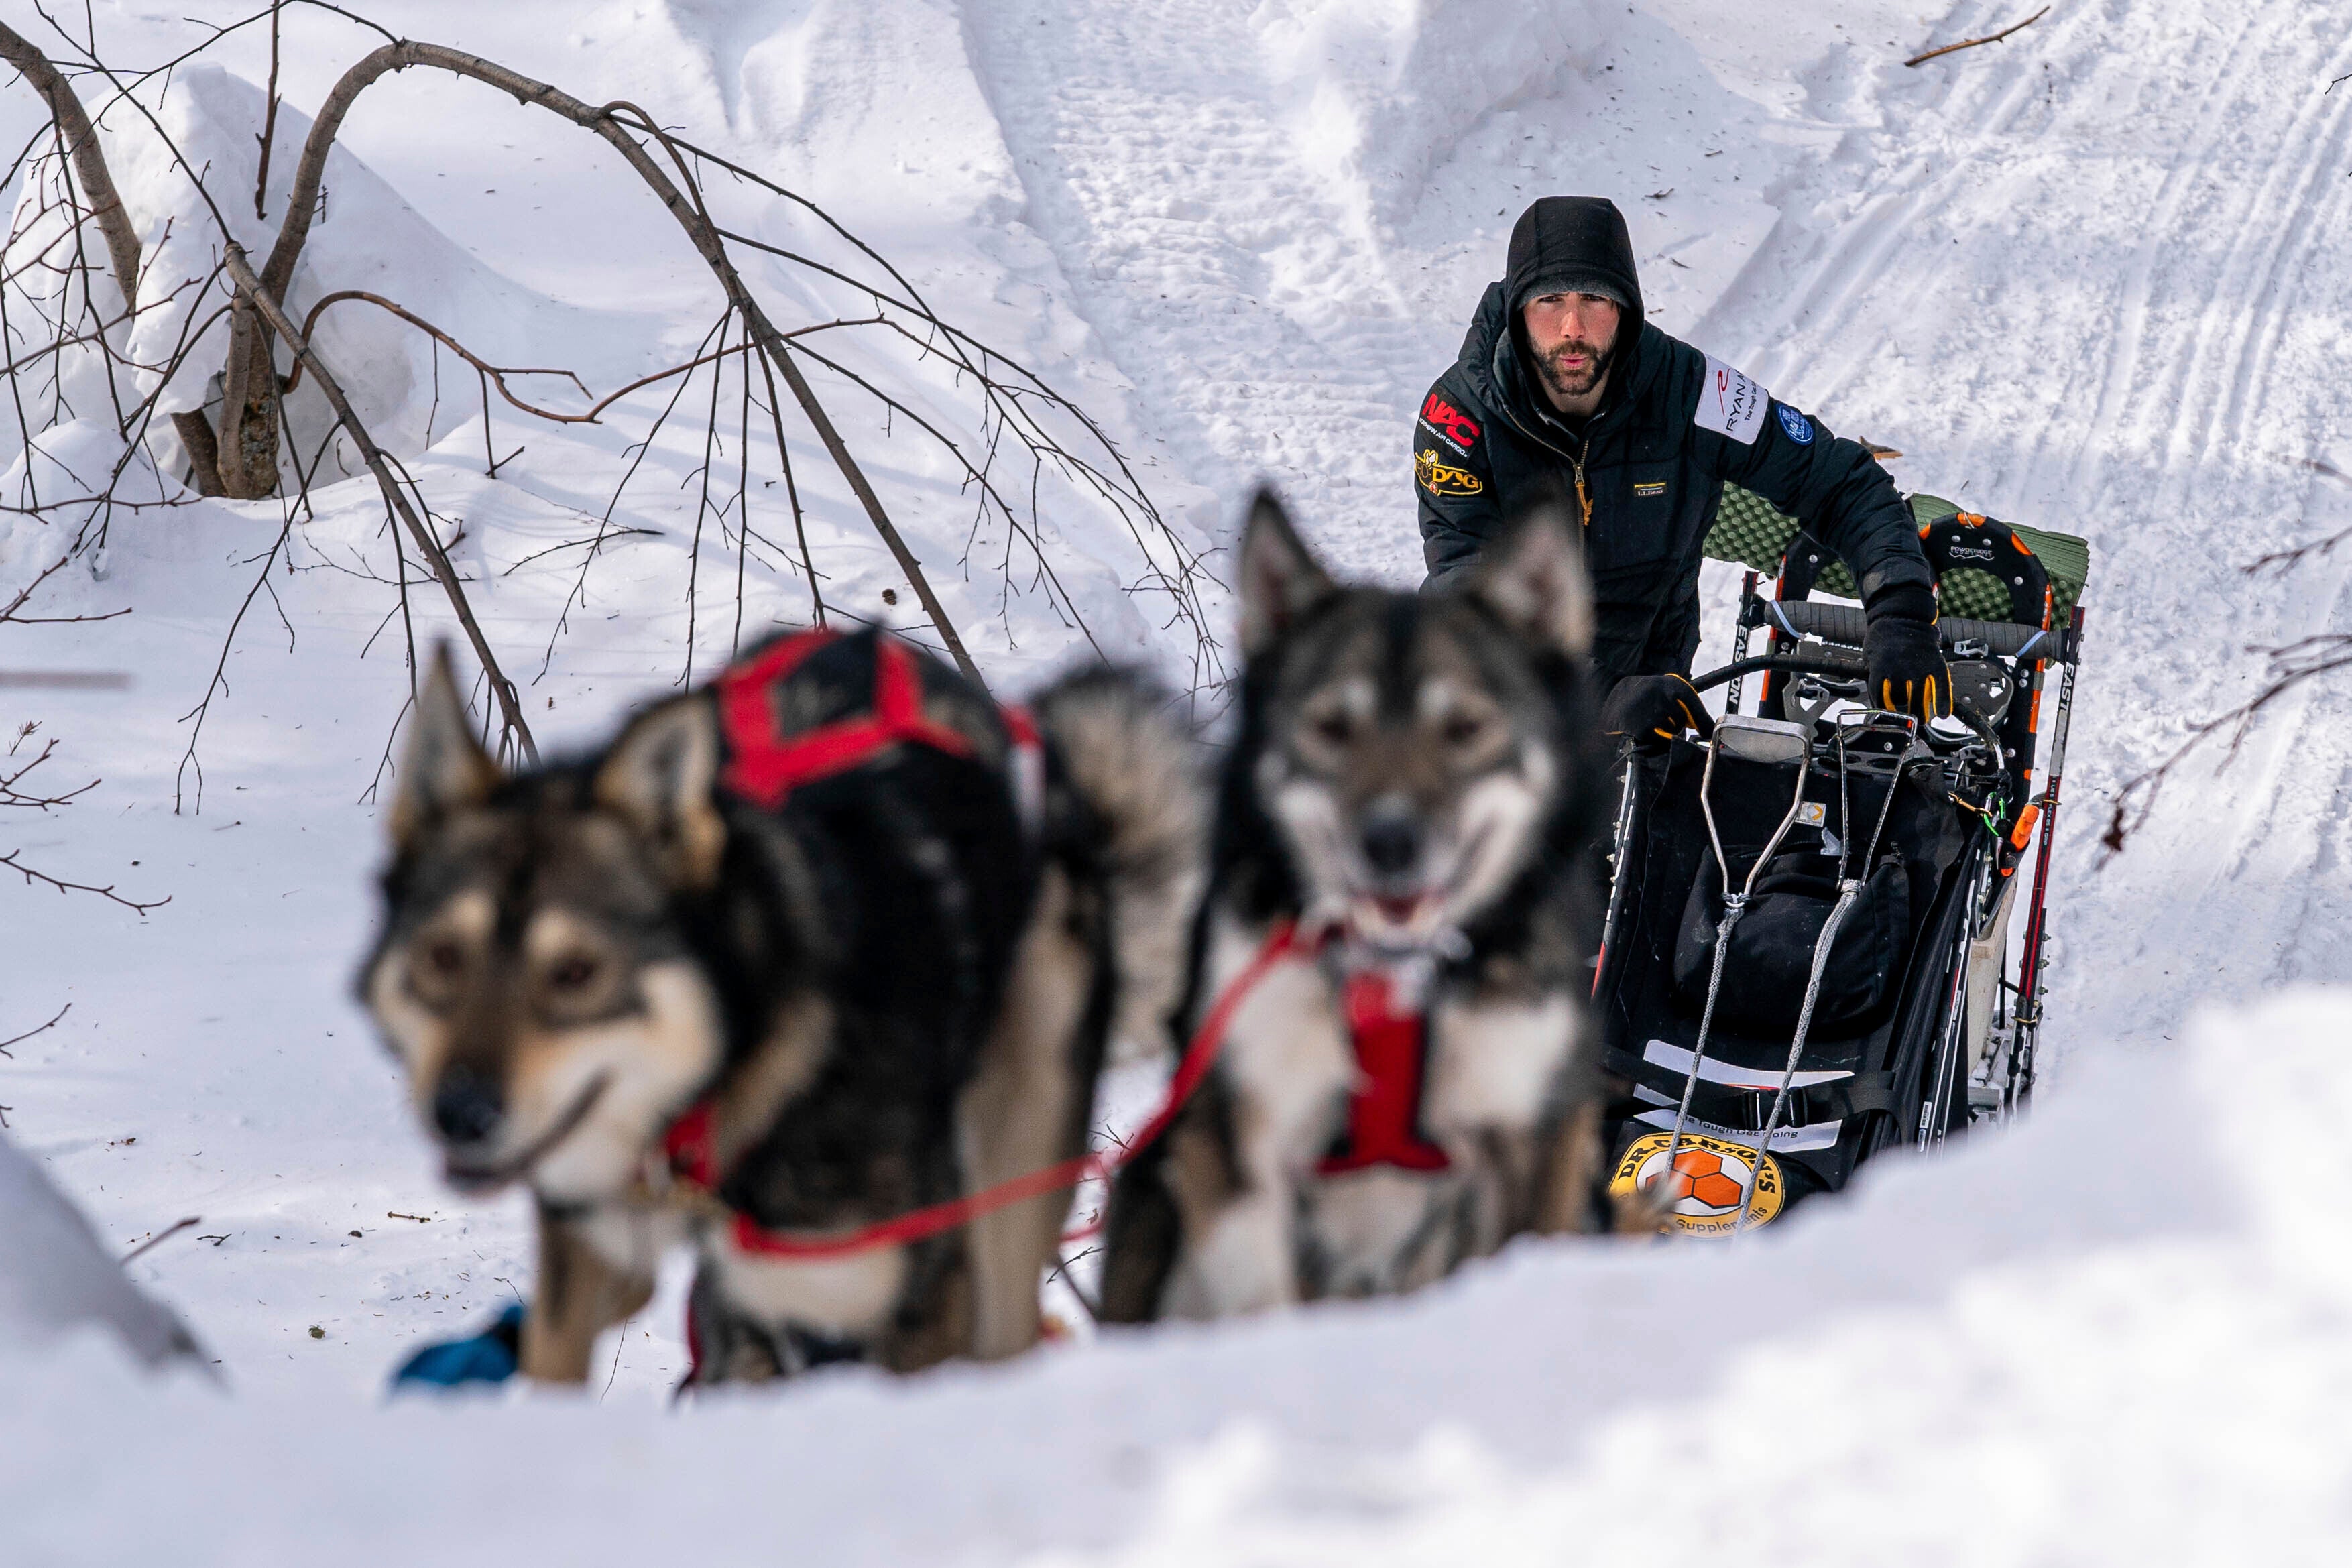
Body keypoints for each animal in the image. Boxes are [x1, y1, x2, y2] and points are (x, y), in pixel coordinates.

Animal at [357, 629, 1204, 1382]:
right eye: (441, 956)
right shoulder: (591, 1241)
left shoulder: (908, 1299)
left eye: (576, 971)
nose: (462, 1112)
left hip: (1014, 1153)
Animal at [1096, 493, 1618, 1325]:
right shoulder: (1242, 1140)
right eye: (1331, 727)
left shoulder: (1534, 1133)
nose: (1389, 841)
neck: (1395, 986)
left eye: (1464, 727)